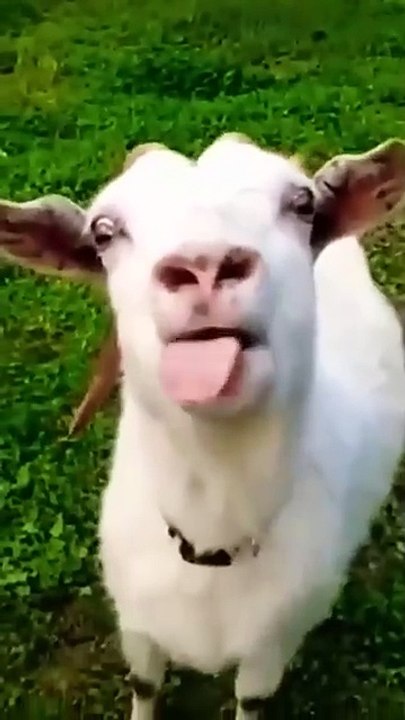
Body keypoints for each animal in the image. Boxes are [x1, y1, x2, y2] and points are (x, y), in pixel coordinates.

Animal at [1, 134, 405, 719]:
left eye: (302, 204)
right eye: (104, 231)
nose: (205, 265)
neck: (213, 541)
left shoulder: (272, 643)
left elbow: (251, 697)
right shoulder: (137, 624)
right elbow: (145, 685)